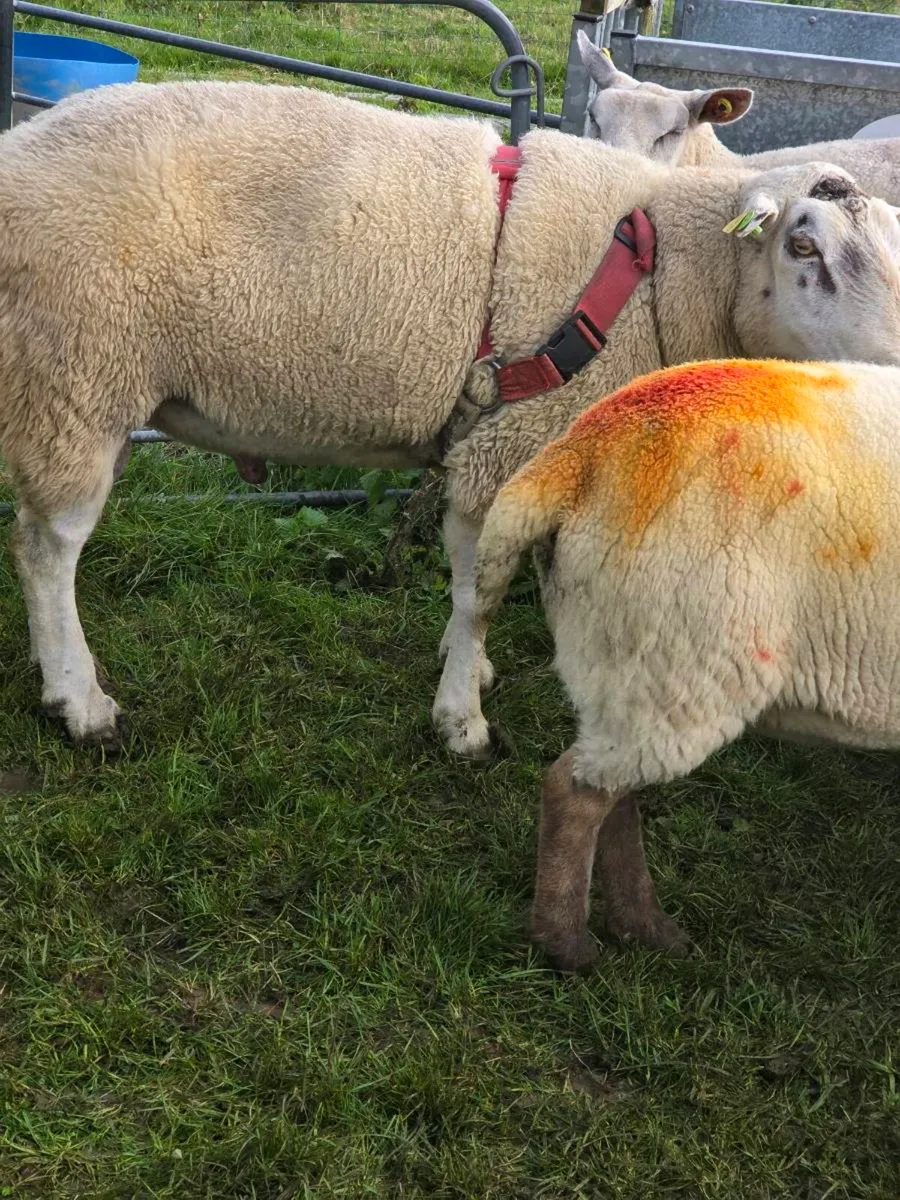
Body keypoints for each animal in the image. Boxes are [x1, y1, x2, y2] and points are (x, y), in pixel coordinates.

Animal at [1, 80, 899, 752]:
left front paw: (477, 672)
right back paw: (80, 703)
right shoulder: (501, 445)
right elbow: (482, 593)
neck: (658, 271)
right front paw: (462, 718)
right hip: (74, 372)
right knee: (50, 548)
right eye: (803, 246)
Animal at [469, 356, 900, 972]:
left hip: (627, 663)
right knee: (575, 791)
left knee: (611, 790)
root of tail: (579, 450)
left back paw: (642, 928)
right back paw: (571, 946)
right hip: (678, 657)